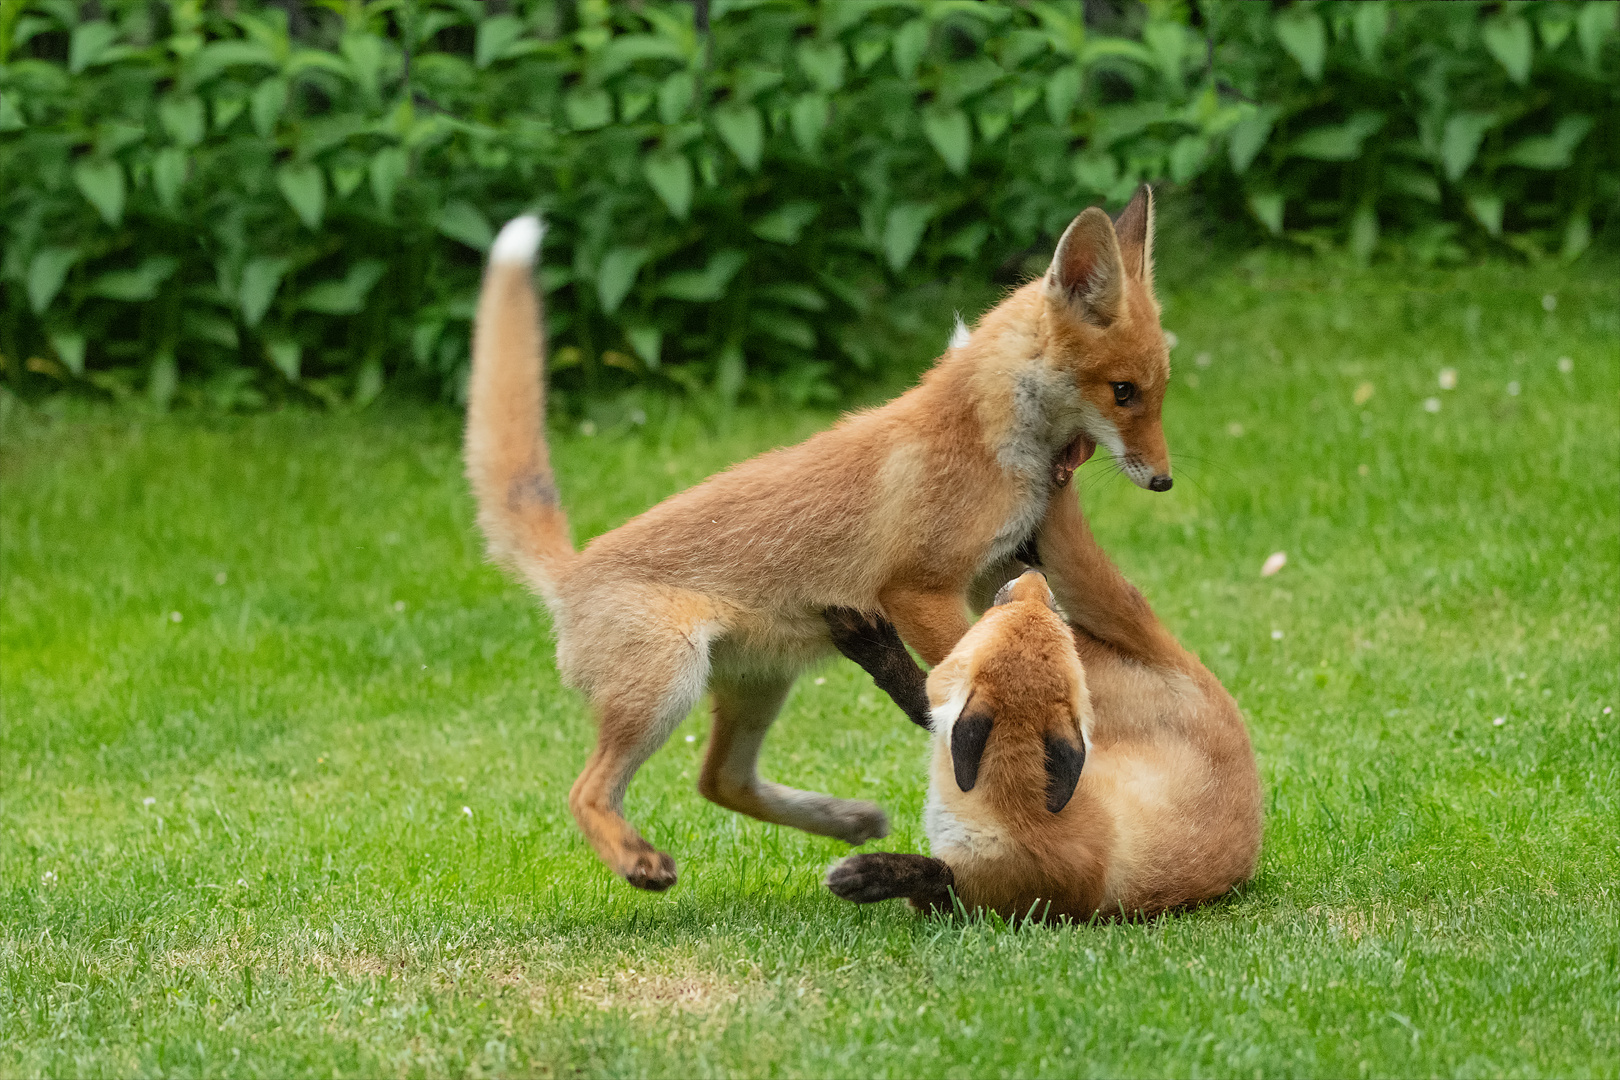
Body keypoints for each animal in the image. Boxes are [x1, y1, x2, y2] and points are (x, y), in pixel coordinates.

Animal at [469, 187, 1179, 893]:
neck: (989, 442)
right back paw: (636, 860)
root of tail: (571, 572)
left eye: (1159, 392)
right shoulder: (918, 591)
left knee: (720, 782)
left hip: (757, 685)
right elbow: (962, 680)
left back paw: (845, 820)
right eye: (1122, 392)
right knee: (586, 791)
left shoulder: (994, 576)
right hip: (666, 685)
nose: (1164, 480)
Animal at [822, 488, 1263, 919]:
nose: (1036, 578)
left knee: (925, 692)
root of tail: (1199, 675)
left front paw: (868, 875)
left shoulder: (989, 902)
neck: (1011, 806)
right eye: (1031, 608)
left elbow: (934, 876)